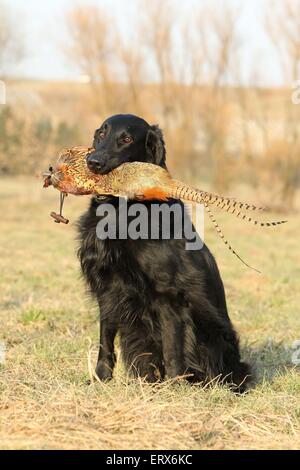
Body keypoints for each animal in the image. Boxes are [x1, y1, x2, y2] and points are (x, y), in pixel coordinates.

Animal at [78, 113, 252, 390]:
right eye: (101, 134)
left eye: (126, 139)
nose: (94, 162)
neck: (123, 213)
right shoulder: (107, 288)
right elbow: (105, 341)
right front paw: (100, 379)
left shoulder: (168, 294)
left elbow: (172, 347)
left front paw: (174, 389)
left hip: (209, 329)